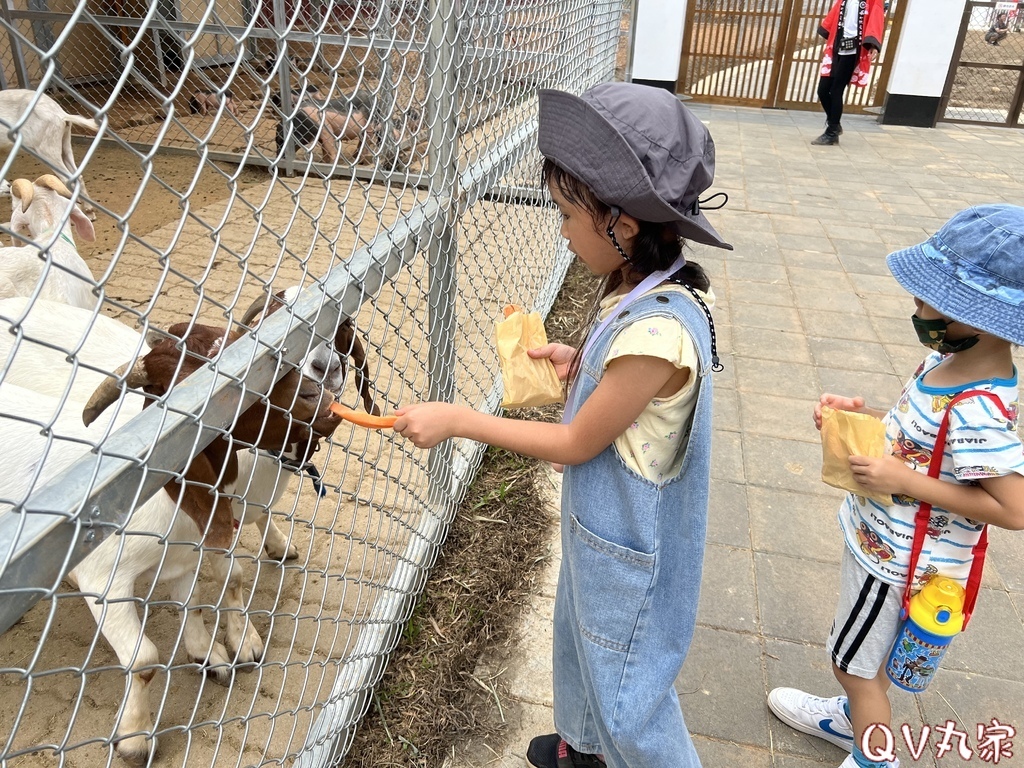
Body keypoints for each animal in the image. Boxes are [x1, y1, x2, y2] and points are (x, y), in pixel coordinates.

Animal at [0, 89, 98, 219]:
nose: (8, 186)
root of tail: (61, 114)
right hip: (65, 145)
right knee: (78, 176)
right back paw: (89, 211)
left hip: (46, 150)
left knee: (67, 179)